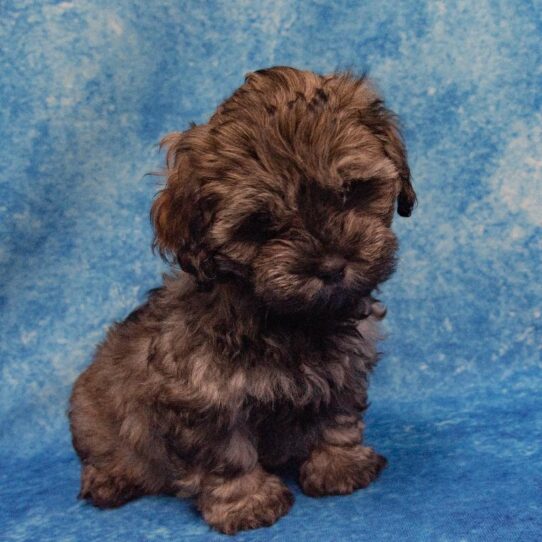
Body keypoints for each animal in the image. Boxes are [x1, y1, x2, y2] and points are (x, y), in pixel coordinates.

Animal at [68, 67, 416, 536]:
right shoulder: (203, 393)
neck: (288, 318)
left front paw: (339, 466)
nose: (330, 265)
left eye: (350, 192)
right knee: (103, 451)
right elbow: (227, 453)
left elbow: (338, 417)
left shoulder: (345, 365)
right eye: (261, 224)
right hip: (91, 412)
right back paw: (111, 477)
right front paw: (246, 501)